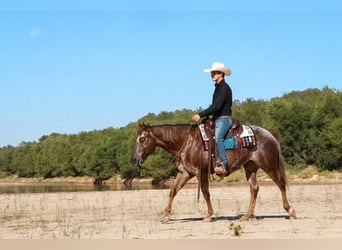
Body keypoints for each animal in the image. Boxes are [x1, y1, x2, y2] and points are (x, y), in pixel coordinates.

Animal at [131, 123, 296, 223]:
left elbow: (205, 192)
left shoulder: (201, 172)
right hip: (250, 167)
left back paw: (290, 210)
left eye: (142, 139)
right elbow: (173, 191)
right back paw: (247, 215)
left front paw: (209, 215)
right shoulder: (185, 173)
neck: (188, 142)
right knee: (254, 189)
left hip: (269, 166)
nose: (134, 159)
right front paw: (166, 216)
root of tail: (269, 133)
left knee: (281, 184)